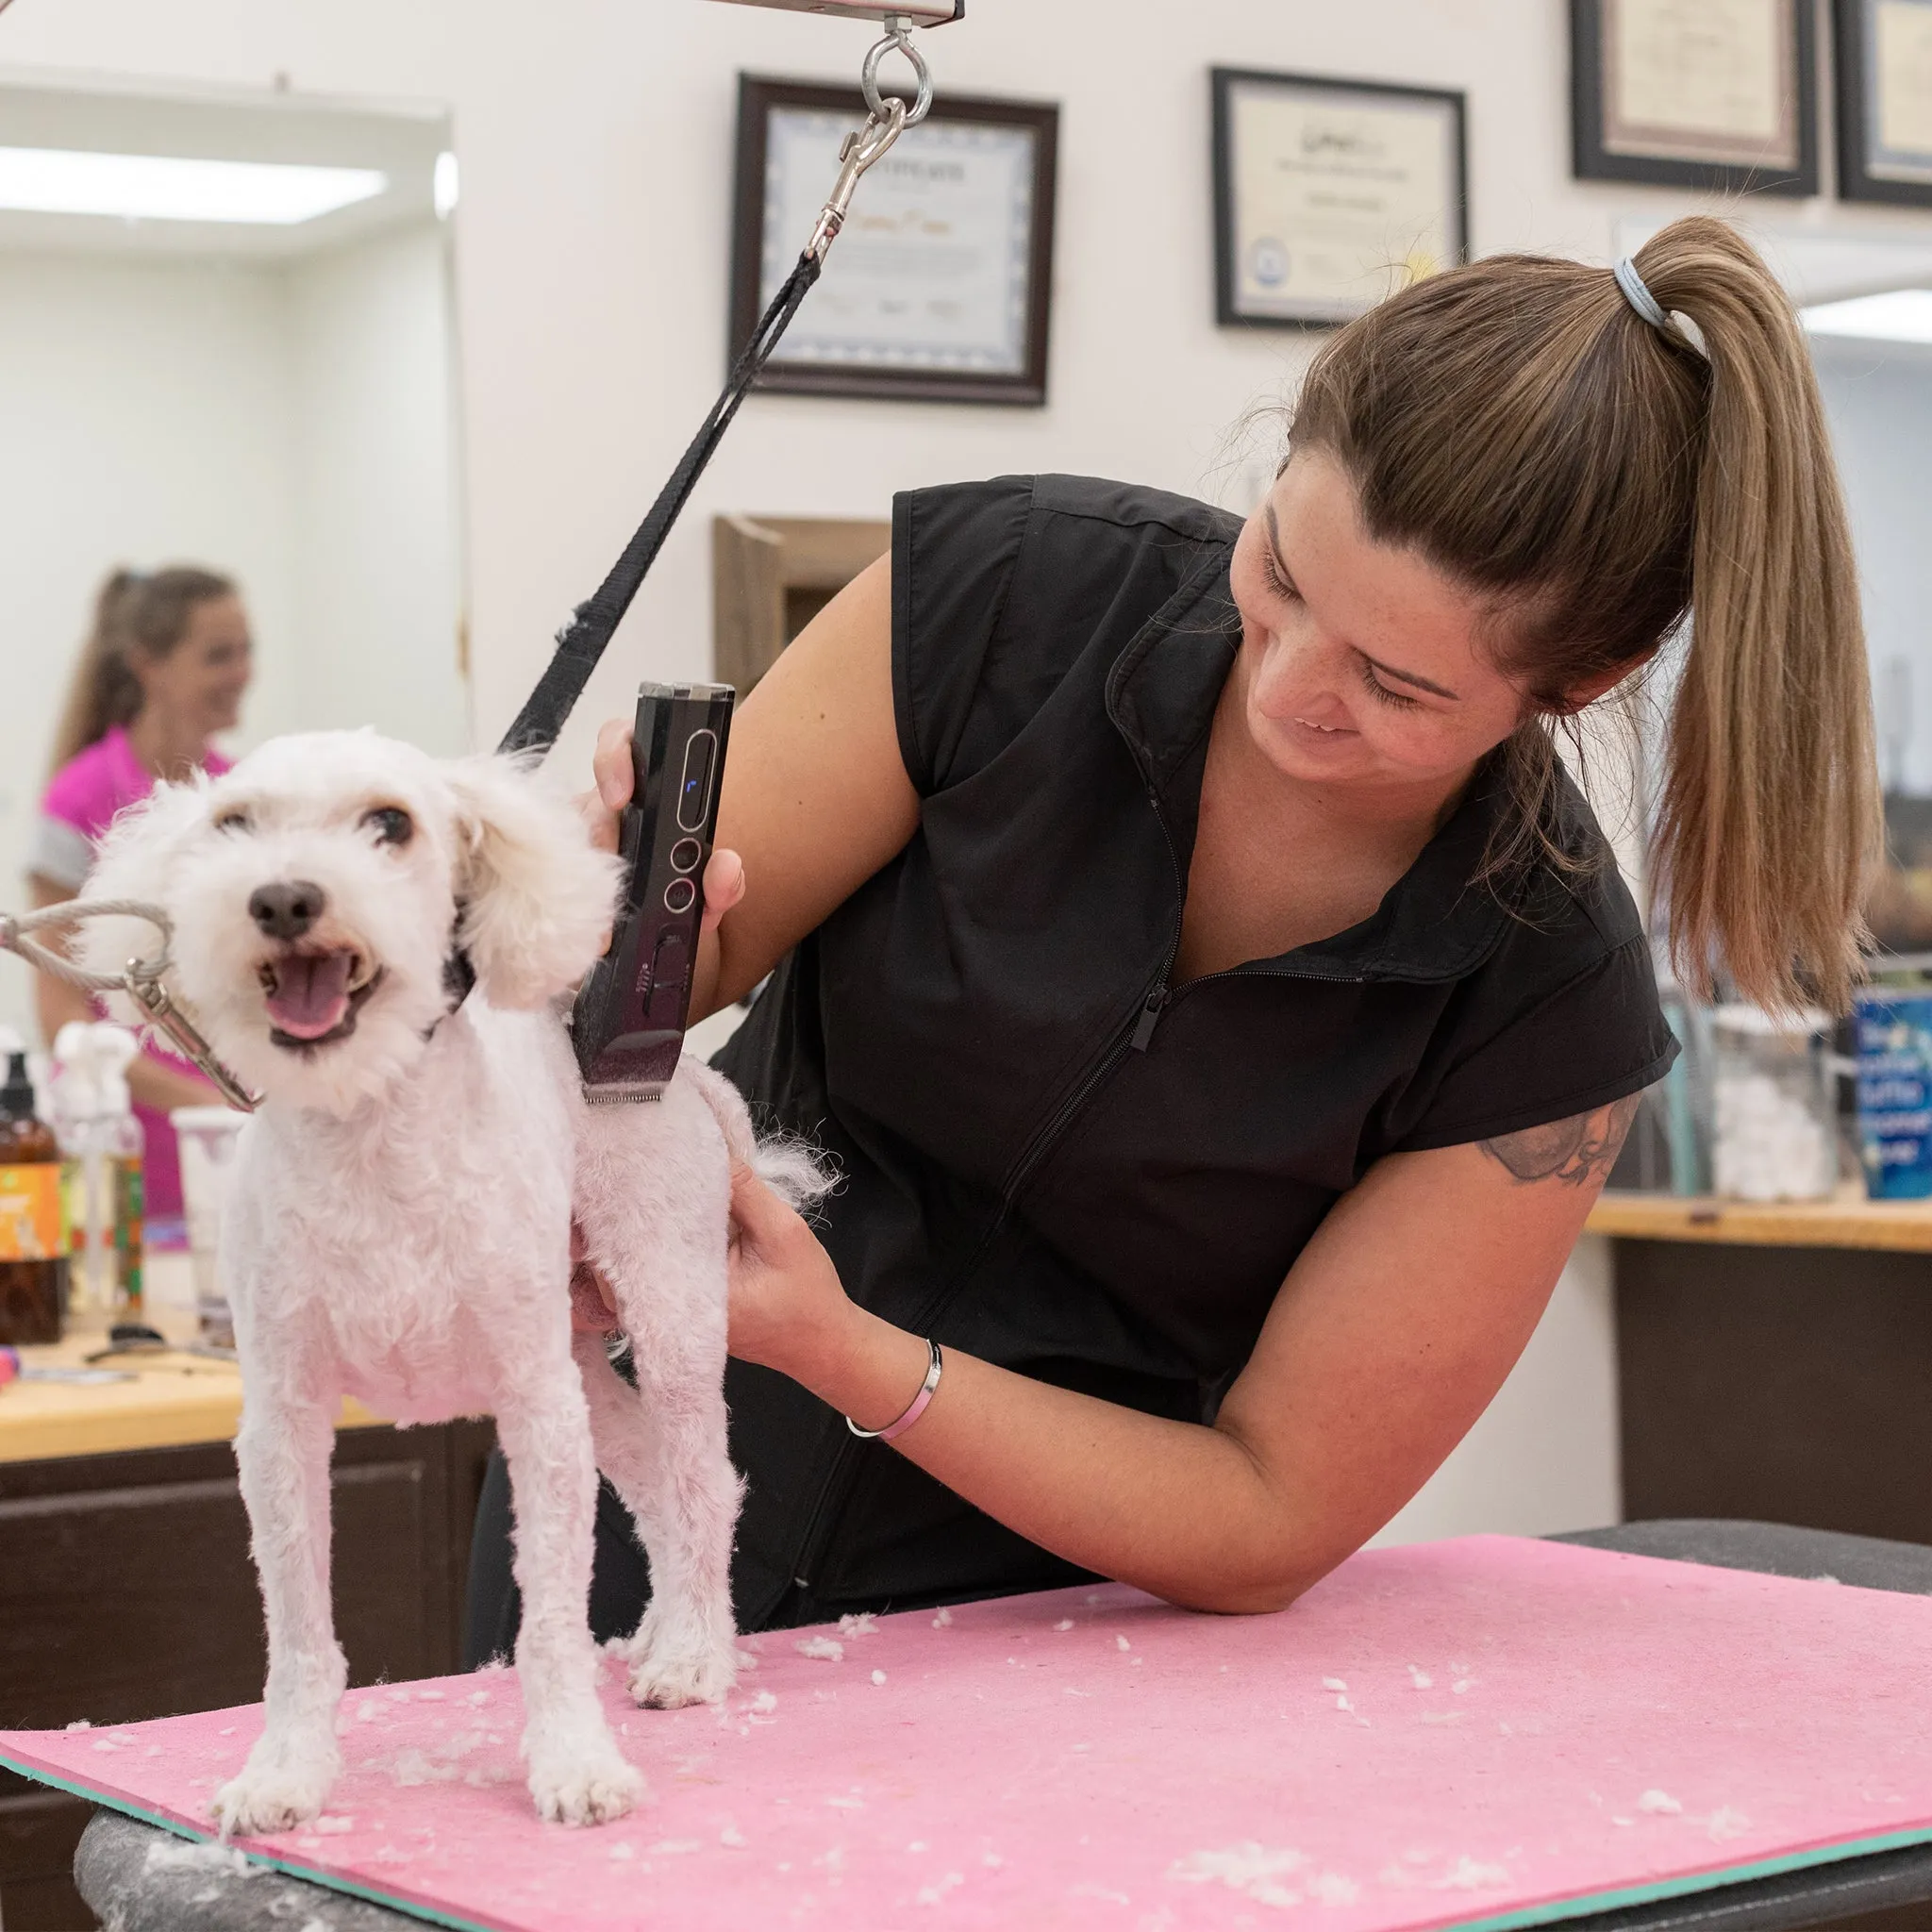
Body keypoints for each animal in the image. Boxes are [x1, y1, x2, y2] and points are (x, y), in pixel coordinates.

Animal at [73, 726, 815, 1824]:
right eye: (234, 824)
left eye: (390, 823)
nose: (283, 898)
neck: (369, 1125)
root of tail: (683, 1067)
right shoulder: (282, 1421)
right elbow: (298, 1634)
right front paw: (286, 1771)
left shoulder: (535, 1409)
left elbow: (547, 1621)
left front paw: (573, 1763)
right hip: (581, 1354)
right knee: (650, 1479)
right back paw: (665, 1629)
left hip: (666, 1303)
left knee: (702, 1479)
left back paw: (692, 1652)